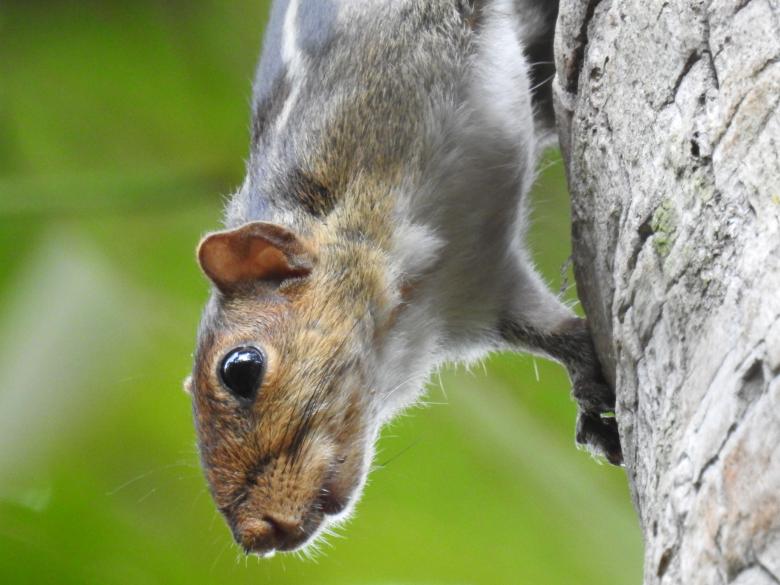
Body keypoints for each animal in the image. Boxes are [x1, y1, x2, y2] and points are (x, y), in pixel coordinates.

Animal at [186, 0, 622, 557]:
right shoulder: (483, 288)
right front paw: (588, 389)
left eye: (239, 368)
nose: (256, 535)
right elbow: (556, 334)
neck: (413, 299)